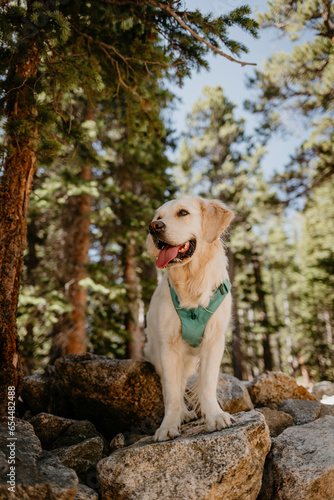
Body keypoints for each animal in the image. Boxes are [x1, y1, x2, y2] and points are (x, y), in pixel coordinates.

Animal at [144, 195, 235, 442]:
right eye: (158, 217)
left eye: (183, 213)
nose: (154, 227)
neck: (192, 279)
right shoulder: (169, 347)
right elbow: (172, 391)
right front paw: (168, 426)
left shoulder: (214, 341)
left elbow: (208, 383)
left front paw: (214, 416)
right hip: (157, 352)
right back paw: (183, 414)